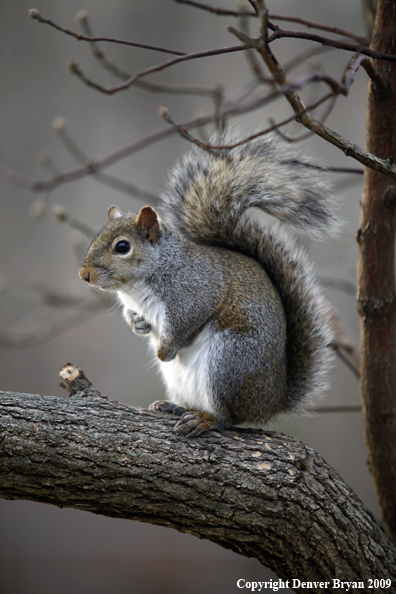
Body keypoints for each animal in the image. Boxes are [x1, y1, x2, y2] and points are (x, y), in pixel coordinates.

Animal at [78, 133, 338, 434]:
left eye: (122, 247)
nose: (84, 274)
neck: (136, 286)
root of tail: (271, 402)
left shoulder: (195, 292)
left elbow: (184, 323)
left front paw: (164, 350)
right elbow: (133, 317)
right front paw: (139, 325)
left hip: (229, 362)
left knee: (230, 418)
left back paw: (206, 419)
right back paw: (175, 407)